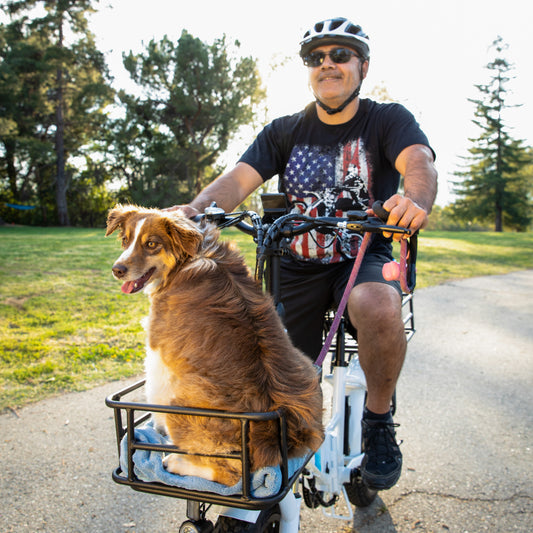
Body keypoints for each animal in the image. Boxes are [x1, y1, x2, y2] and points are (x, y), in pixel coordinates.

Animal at [105, 205, 322, 486]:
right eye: (125, 240)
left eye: (152, 244)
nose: (117, 269)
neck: (188, 258)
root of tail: (277, 439)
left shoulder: (157, 348)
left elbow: (154, 391)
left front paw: (158, 429)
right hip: (304, 366)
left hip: (181, 399)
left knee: (230, 473)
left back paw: (176, 462)